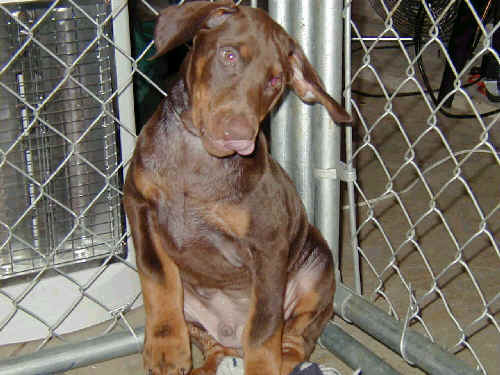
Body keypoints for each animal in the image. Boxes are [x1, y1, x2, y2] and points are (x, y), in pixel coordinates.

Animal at [124, 1, 352, 374]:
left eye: (275, 80)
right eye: (229, 55)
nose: (240, 134)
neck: (197, 157)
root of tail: (230, 335)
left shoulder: (268, 245)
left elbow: (263, 326)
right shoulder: (138, 203)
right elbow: (157, 276)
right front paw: (166, 347)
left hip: (316, 268)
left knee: (294, 343)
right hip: (198, 311)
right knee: (214, 346)